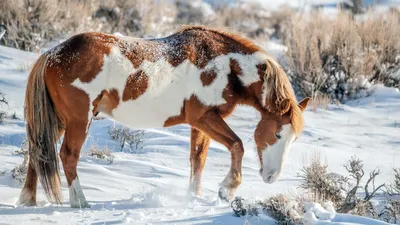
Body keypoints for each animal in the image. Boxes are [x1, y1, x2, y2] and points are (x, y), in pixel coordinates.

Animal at [17, 25, 310, 207]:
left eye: (295, 139)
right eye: (278, 133)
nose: (271, 177)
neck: (226, 66)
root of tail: (52, 54)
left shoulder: (200, 124)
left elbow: (198, 160)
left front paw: (195, 196)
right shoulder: (204, 117)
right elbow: (237, 145)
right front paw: (227, 189)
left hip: (58, 120)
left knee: (38, 151)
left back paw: (27, 199)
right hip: (79, 120)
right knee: (67, 156)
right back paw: (80, 201)